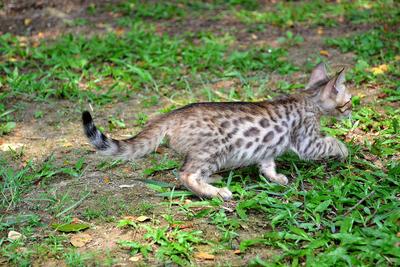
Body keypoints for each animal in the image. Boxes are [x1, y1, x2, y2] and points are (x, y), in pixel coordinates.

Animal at [81, 63, 350, 201]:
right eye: (347, 101)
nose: (351, 110)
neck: (308, 98)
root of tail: (174, 113)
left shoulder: (267, 148)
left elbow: (267, 164)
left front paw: (275, 178)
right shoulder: (307, 140)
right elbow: (330, 142)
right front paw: (345, 150)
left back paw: (213, 180)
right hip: (215, 148)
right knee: (186, 174)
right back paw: (217, 192)